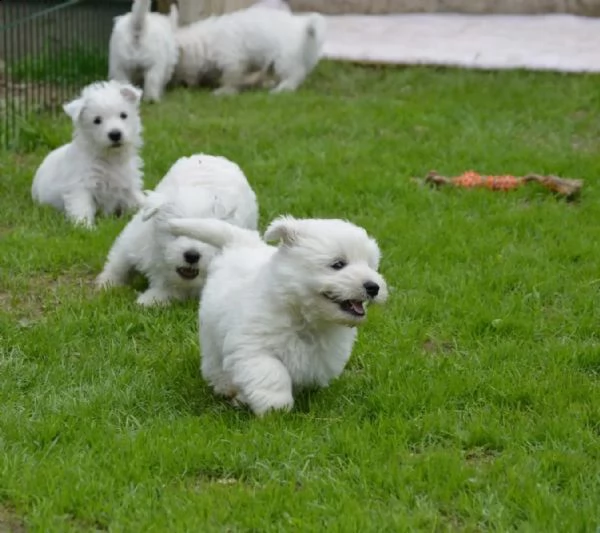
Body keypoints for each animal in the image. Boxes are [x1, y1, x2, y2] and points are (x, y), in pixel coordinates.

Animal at [31, 80, 145, 228]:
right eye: (97, 120)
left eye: (123, 115)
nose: (115, 134)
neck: (109, 157)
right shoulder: (80, 187)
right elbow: (82, 208)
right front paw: (86, 228)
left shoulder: (128, 185)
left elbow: (140, 200)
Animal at [96, 152, 258, 306]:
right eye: (175, 230)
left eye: (206, 235)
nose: (192, 256)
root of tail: (216, 158)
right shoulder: (133, 240)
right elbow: (119, 264)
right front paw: (106, 284)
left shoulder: (185, 286)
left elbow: (169, 290)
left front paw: (148, 300)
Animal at [168, 214, 390, 414]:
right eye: (338, 264)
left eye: (371, 266)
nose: (373, 287)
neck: (303, 315)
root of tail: (242, 243)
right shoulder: (254, 346)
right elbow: (272, 373)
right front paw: (276, 408)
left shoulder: (322, 355)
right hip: (211, 332)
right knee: (215, 362)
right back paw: (227, 388)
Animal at [171, 6, 326, 93]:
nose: (182, 85)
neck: (206, 43)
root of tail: (303, 26)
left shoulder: (231, 59)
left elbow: (230, 78)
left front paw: (224, 91)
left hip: (284, 60)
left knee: (295, 75)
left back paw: (282, 89)